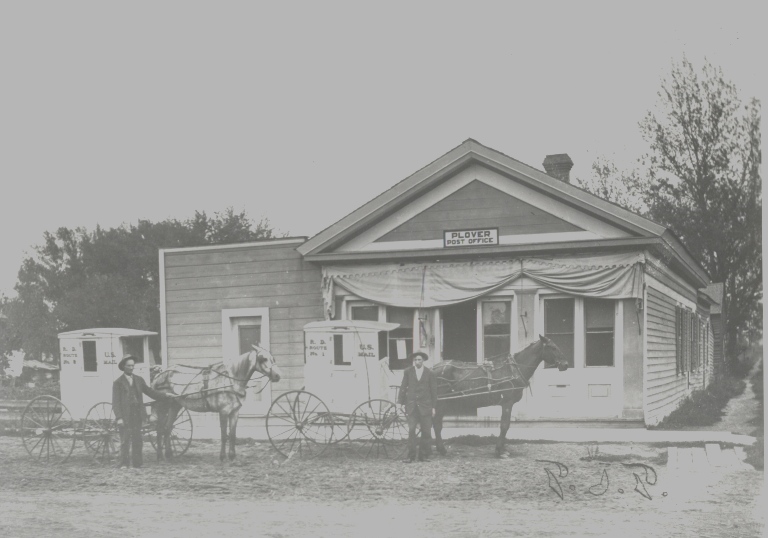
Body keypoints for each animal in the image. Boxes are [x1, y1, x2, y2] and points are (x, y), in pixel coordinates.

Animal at [151, 342, 282, 458]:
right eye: (263, 359)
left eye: (273, 358)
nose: (277, 376)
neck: (230, 380)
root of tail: (160, 374)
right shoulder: (223, 411)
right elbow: (224, 435)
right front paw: (222, 456)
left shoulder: (235, 412)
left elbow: (232, 435)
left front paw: (232, 456)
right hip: (162, 406)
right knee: (160, 429)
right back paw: (159, 456)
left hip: (175, 405)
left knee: (167, 428)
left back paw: (169, 455)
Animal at [436, 336, 568, 456]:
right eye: (553, 347)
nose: (565, 364)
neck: (512, 370)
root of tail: (434, 368)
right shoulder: (507, 403)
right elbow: (505, 425)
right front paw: (500, 451)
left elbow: (506, 425)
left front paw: (502, 449)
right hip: (441, 403)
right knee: (436, 423)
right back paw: (441, 450)